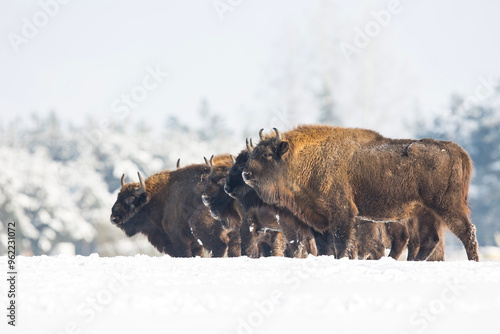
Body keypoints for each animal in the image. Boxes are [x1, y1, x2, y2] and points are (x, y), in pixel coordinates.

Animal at [244, 125, 478, 260]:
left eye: (267, 154)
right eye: (253, 153)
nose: (246, 174)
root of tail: (455, 150)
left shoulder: (342, 212)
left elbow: (341, 243)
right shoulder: (321, 217)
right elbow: (329, 245)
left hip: (446, 207)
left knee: (467, 232)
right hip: (427, 213)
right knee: (430, 240)